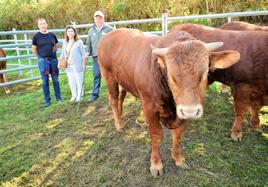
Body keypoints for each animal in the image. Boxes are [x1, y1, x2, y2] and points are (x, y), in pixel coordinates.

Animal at [97, 28, 240, 177]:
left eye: (205, 74)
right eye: (171, 76)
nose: (190, 111)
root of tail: (110, 34)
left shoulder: (180, 113)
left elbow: (178, 135)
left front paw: (178, 159)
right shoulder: (150, 107)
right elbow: (156, 136)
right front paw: (156, 164)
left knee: (121, 96)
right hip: (109, 77)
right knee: (113, 100)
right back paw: (119, 124)